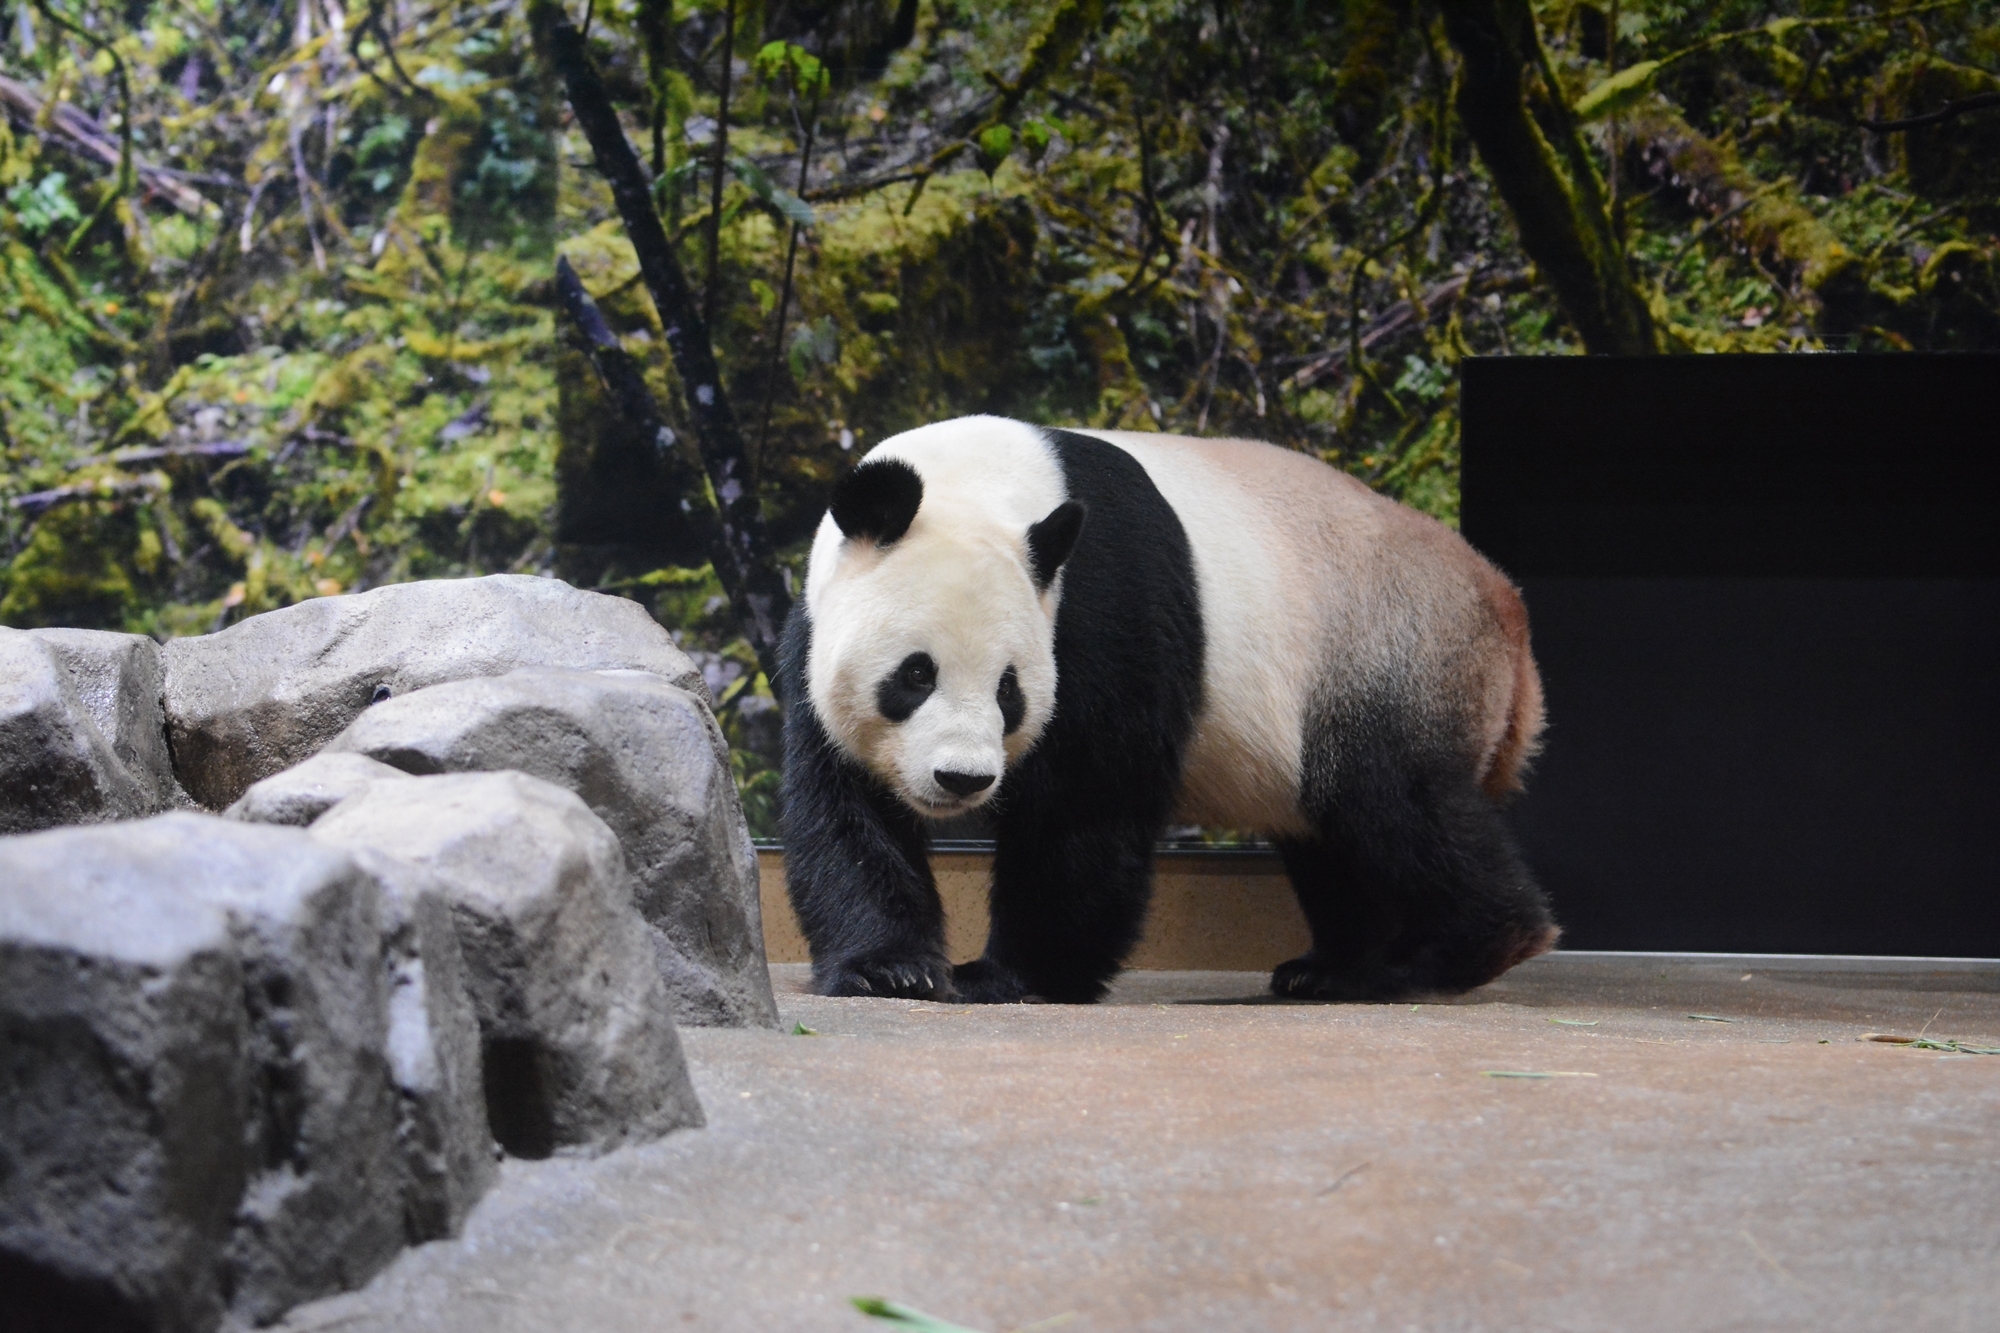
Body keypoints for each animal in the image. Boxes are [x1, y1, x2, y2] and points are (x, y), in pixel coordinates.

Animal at [772, 416, 1552, 996]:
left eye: (1008, 689)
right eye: (915, 674)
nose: (961, 779)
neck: (976, 484)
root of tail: (1509, 612)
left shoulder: (1101, 602)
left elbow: (1091, 796)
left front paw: (1010, 975)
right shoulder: (816, 629)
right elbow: (845, 803)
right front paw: (890, 968)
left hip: (1388, 651)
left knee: (1396, 804)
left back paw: (1448, 954)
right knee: (1337, 839)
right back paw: (1331, 968)